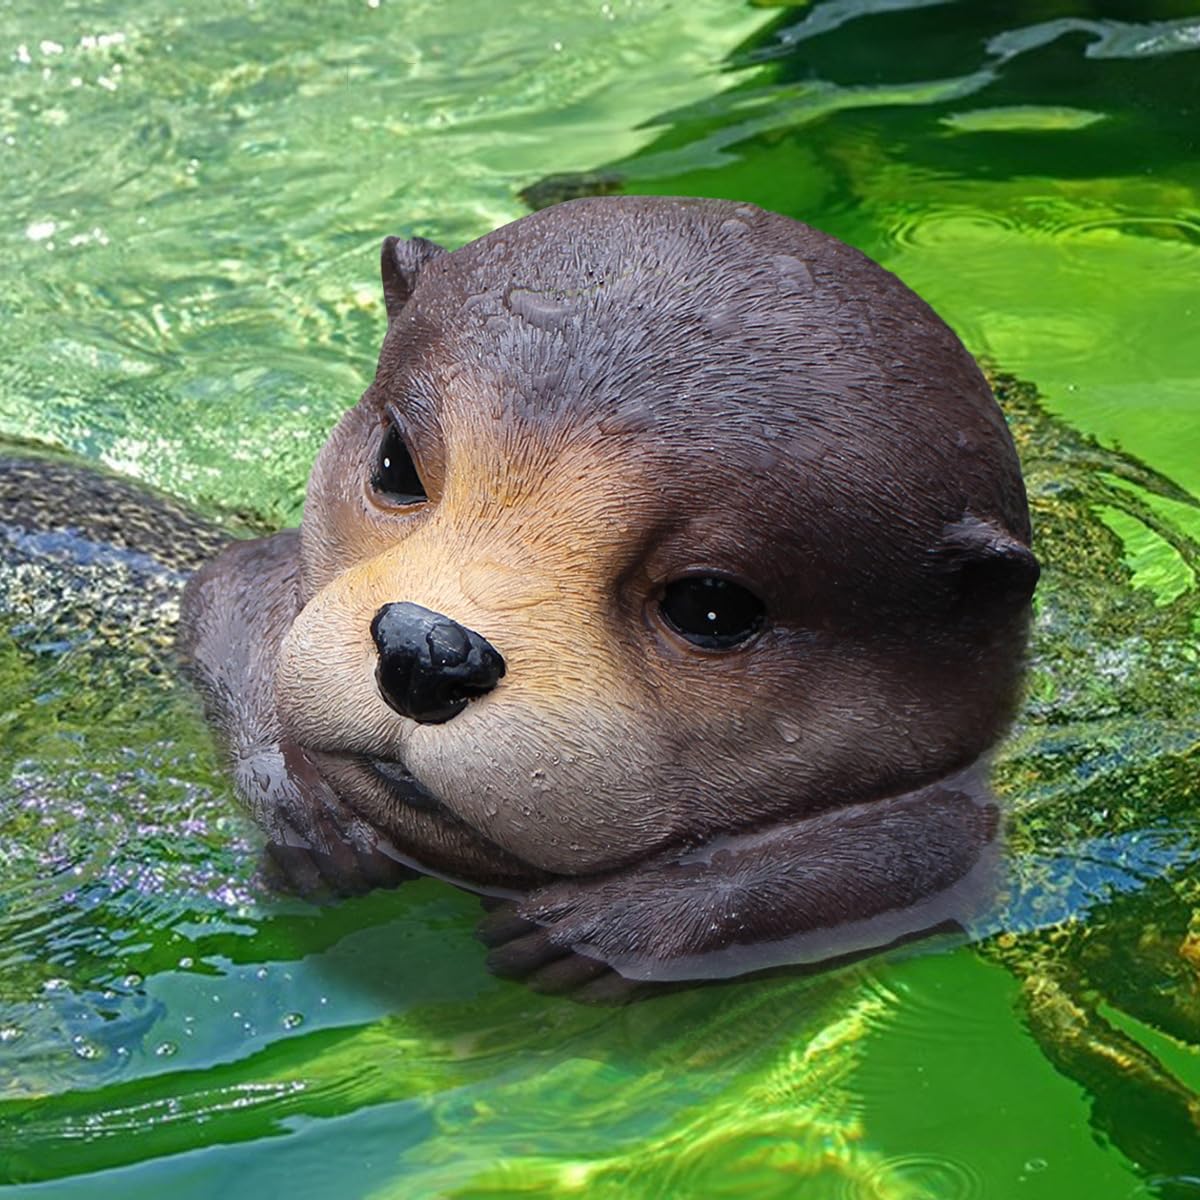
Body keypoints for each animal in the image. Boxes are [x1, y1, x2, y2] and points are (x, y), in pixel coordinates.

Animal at [180, 196, 1038, 994]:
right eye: (394, 463)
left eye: (711, 606)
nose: (427, 649)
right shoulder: (246, 574)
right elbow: (225, 600)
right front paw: (307, 797)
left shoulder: (956, 829)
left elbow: (923, 855)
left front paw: (618, 924)